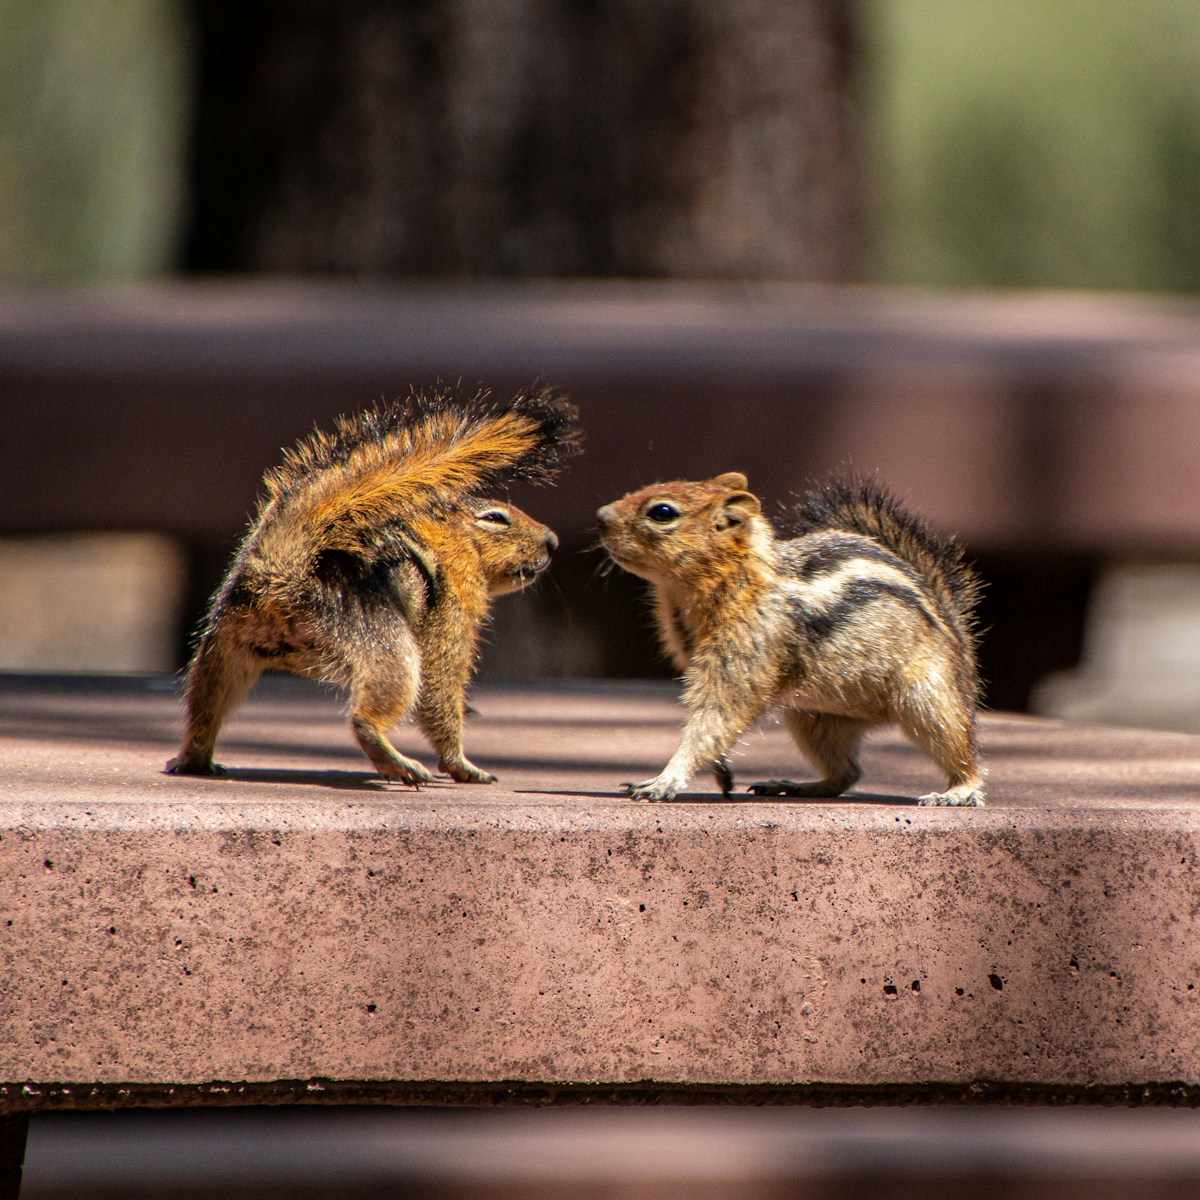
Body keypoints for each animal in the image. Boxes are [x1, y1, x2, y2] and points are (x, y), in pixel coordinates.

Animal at [168, 386, 580, 787]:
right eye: (494, 518)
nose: (552, 541)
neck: (453, 544)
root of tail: (283, 576)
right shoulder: (452, 610)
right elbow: (439, 686)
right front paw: (462, 764)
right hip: (381, 639)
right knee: (368, 714)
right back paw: (398, 763)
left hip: (226, 646)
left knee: (206, 708)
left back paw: (194, 760)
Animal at [597, 468, 984, 806]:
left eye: (662, 512)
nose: (601, 515)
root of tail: (956, 633)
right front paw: (719, 767)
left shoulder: (746, 652)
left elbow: (716, 716)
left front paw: (665, 780)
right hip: (814, 720)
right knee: (846, 773)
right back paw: (796, 785)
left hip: (928, 699)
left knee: (964, 756)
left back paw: (957, 791)